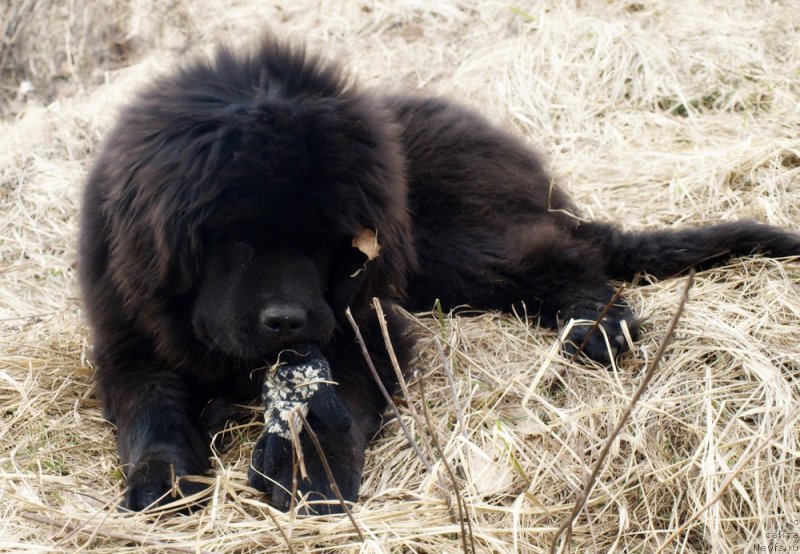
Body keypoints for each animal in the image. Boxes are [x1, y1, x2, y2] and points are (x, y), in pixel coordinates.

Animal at [79, 33, 800, 508]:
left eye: (321, 241)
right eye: (234, 237)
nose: (287, 321)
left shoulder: (367, 322)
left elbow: (340, 393)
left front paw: (312, 473)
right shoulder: (127, 343)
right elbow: (152, 410)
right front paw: (161, 477)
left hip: (454, 247)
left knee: (567, 258)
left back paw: (598, 325)